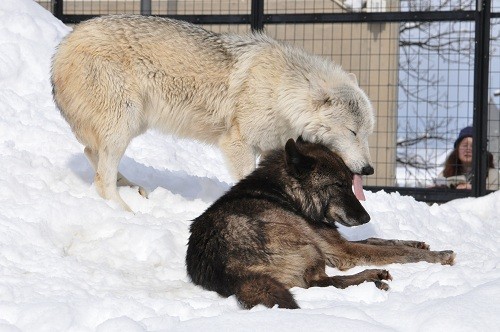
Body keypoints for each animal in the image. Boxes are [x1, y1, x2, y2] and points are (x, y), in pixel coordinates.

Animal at [51, 14, 376, 210]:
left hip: (133, 125)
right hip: (124, 123)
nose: (369, 169)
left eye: (367, 134)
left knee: (91, 154)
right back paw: (127, 211)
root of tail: (65, 42)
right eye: (352, 132)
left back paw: (132, 188)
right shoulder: (238, 143)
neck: (281, 92)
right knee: (100, 178)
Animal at [186, 139, 456, 310]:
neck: (288, 195)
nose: (366, 218)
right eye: (338, 185)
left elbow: (380, 240)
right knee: (322, 283)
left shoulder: (338, 242)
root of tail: (230, 272)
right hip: (309, 247)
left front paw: (419, 244)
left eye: (350, 184)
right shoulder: (342, 250)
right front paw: (440, 255)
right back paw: (374, 278)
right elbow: (396, 251)